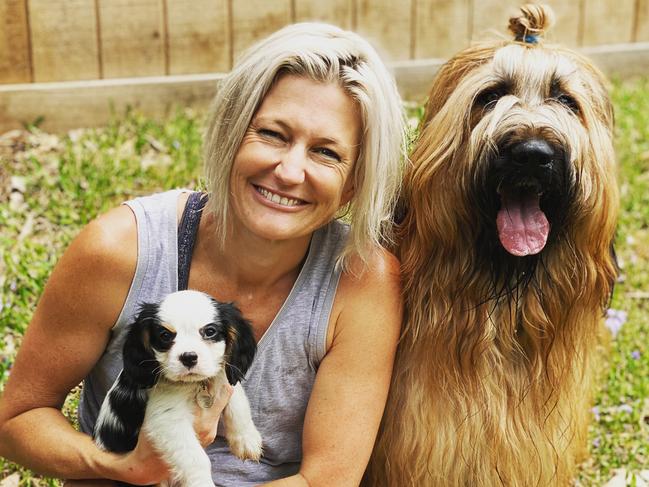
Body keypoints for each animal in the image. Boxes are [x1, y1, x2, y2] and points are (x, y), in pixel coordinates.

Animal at [93, 292, 260, 486]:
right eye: (165, 335)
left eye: (210, 331)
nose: (188, 357)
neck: (193, 384)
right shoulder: (168, 419)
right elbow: (196, 458)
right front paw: (202, 482)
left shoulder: (223, 378)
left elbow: (238, 399)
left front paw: (246, 439)